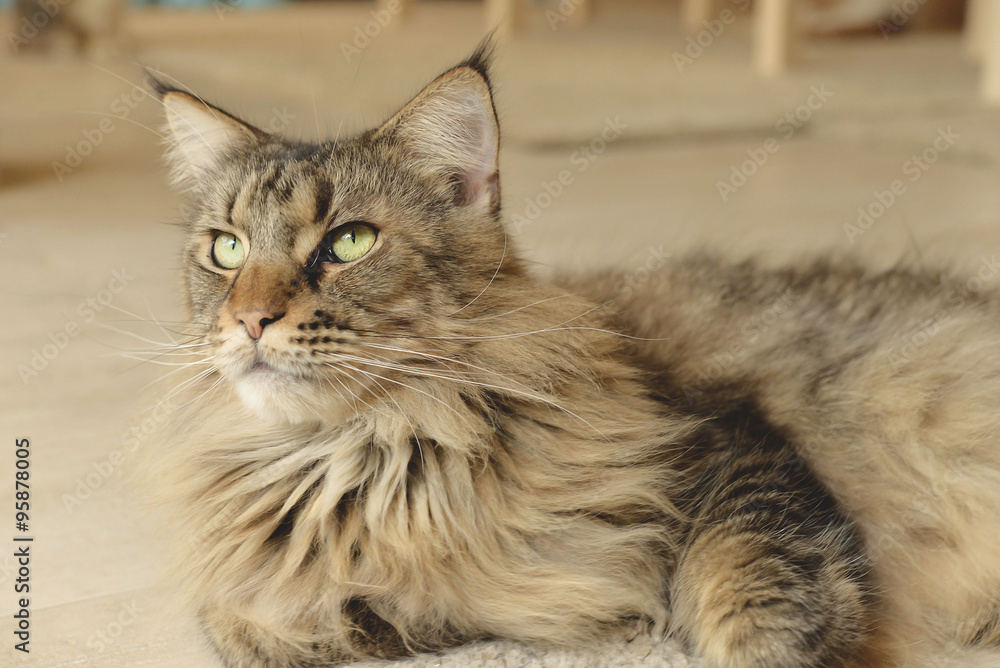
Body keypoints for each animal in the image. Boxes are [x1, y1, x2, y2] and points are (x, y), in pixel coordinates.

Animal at [146, 44, 1000, 664]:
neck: (374, 458)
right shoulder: (265, 607)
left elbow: (748, 593)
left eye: (349, 243)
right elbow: (269, 625)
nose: (249, 320)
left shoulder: (732, 444)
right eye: (226, 249)